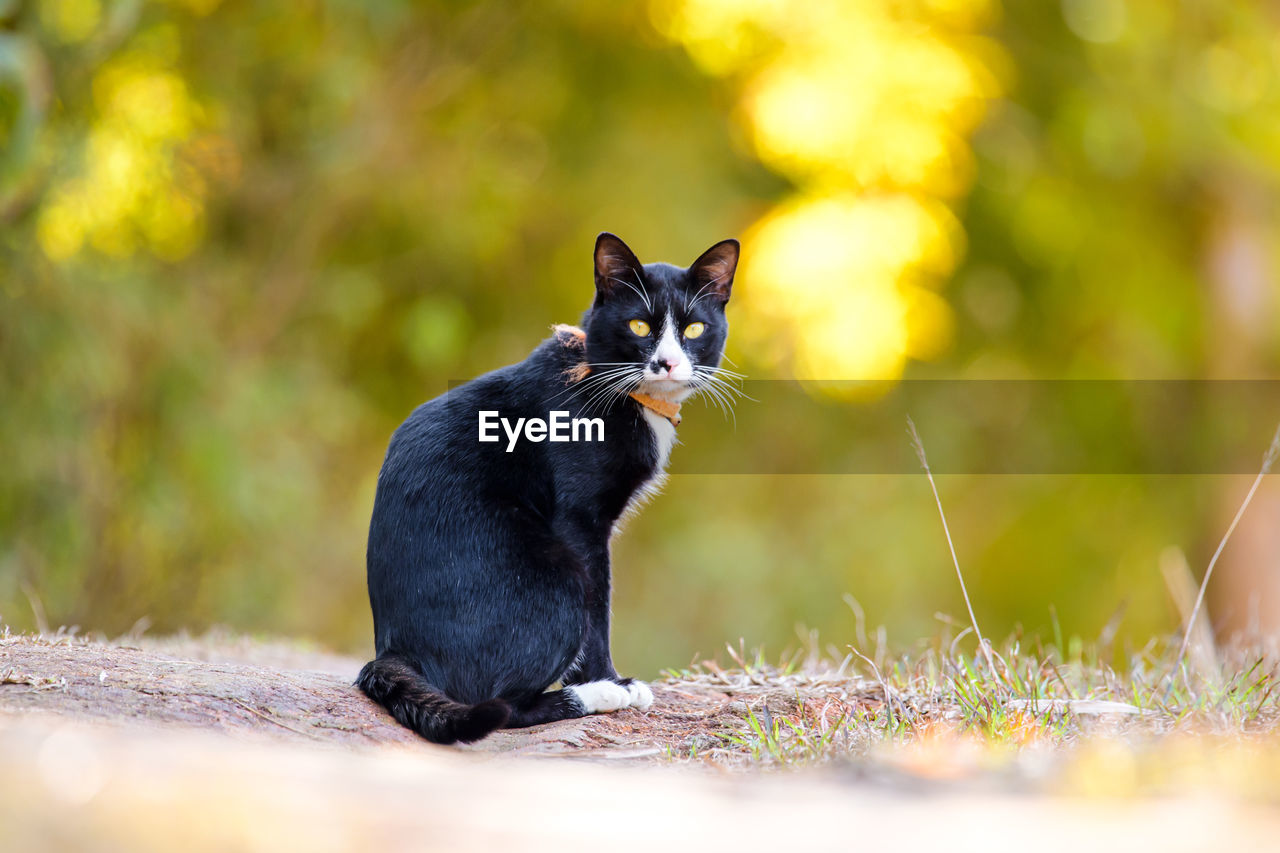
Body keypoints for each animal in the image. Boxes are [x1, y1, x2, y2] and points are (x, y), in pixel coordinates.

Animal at [358, 234, 742, 742]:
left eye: (695, 329)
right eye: (639, 324)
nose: (666, 362)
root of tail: (394, 650)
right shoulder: (579, 519)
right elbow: (599, 610)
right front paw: (611, 680)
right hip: (555, 575)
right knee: (500, 703)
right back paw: (594, 696)